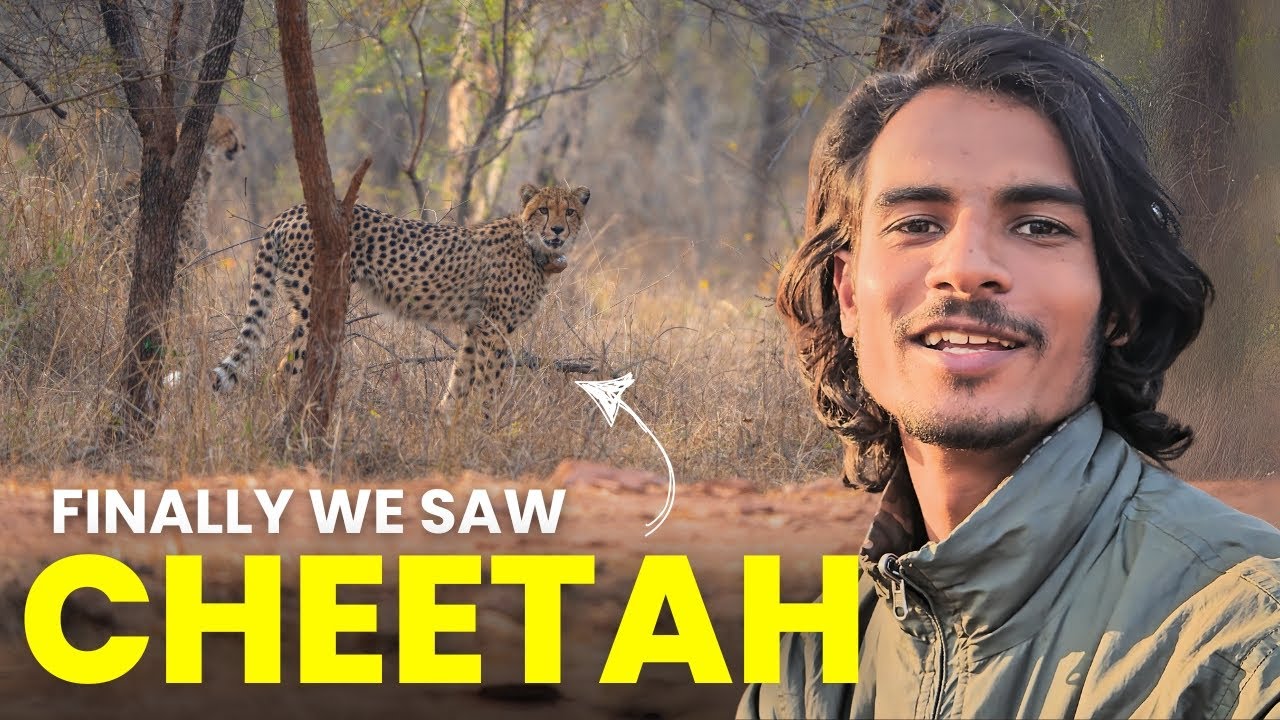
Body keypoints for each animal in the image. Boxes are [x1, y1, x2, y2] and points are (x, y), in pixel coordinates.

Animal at [210, 182, 591, 422]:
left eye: (570, 211)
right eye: (543, 210)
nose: (558, 230)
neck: (533, 246)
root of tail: (293, 210)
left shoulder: (474, 327)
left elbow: (460, 378)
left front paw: (445, 426)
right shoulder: (493, 328)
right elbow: (491, 383)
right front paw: (488, 428)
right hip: (315, 301)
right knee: (281, 371)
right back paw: (286, 419)